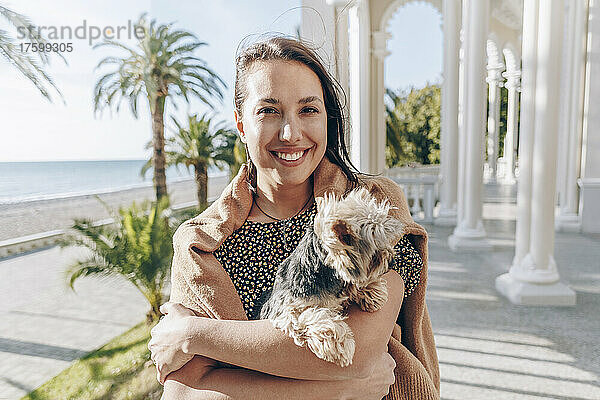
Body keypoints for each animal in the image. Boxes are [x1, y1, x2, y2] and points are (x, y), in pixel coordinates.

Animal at [258, 187, 404, 366]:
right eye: (375, 255)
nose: (392, 261)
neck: (321, 273)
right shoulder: (286, 309)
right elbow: (313, 315)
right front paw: (339, 343)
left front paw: (373, 291)